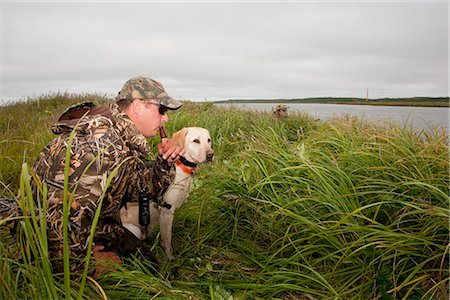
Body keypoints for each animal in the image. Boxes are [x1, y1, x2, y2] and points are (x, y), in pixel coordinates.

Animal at [119, 126, 214, 260]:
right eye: (196, 141)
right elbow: (167, 240)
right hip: (134, 230)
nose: (211, 154)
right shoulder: (166, 212)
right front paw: (169, 258)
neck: (180, 166)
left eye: (208, 140)